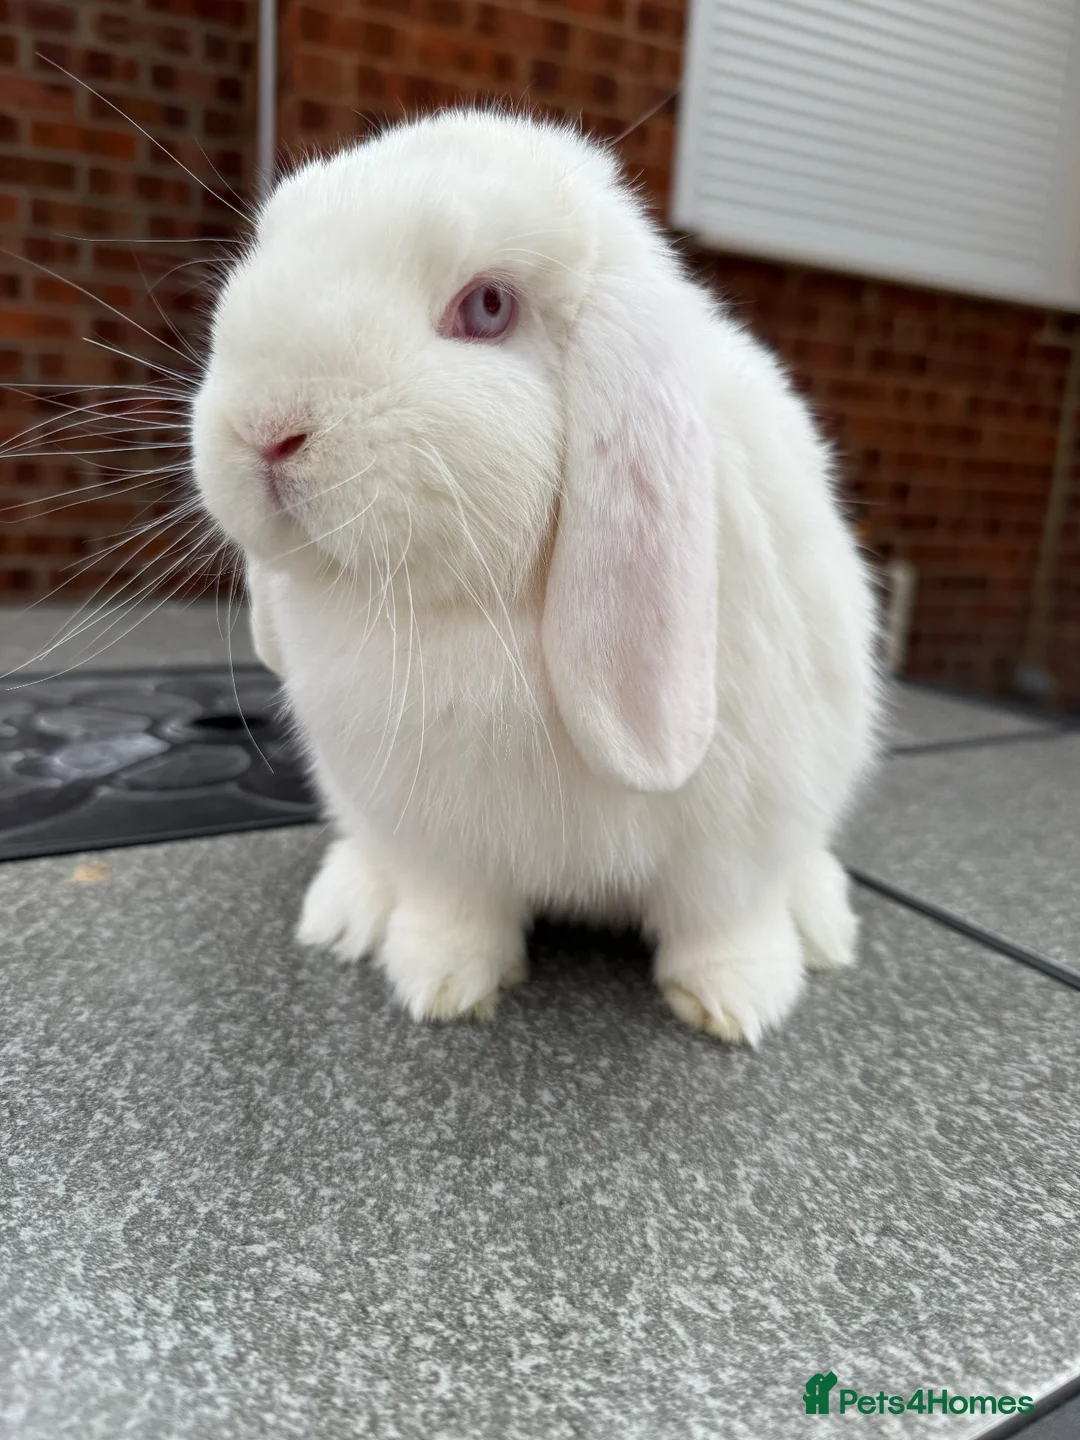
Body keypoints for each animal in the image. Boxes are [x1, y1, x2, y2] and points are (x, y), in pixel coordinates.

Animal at [191, 108, 881, 1045]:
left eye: (487, 307)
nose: (264, 429)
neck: (473, 611)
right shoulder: (437, 832)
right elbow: (455, 908)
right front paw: (441, 984)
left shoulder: (737, 834)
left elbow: (721, 920)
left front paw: (739, 1004)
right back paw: (345, 912)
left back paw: (823, 924)